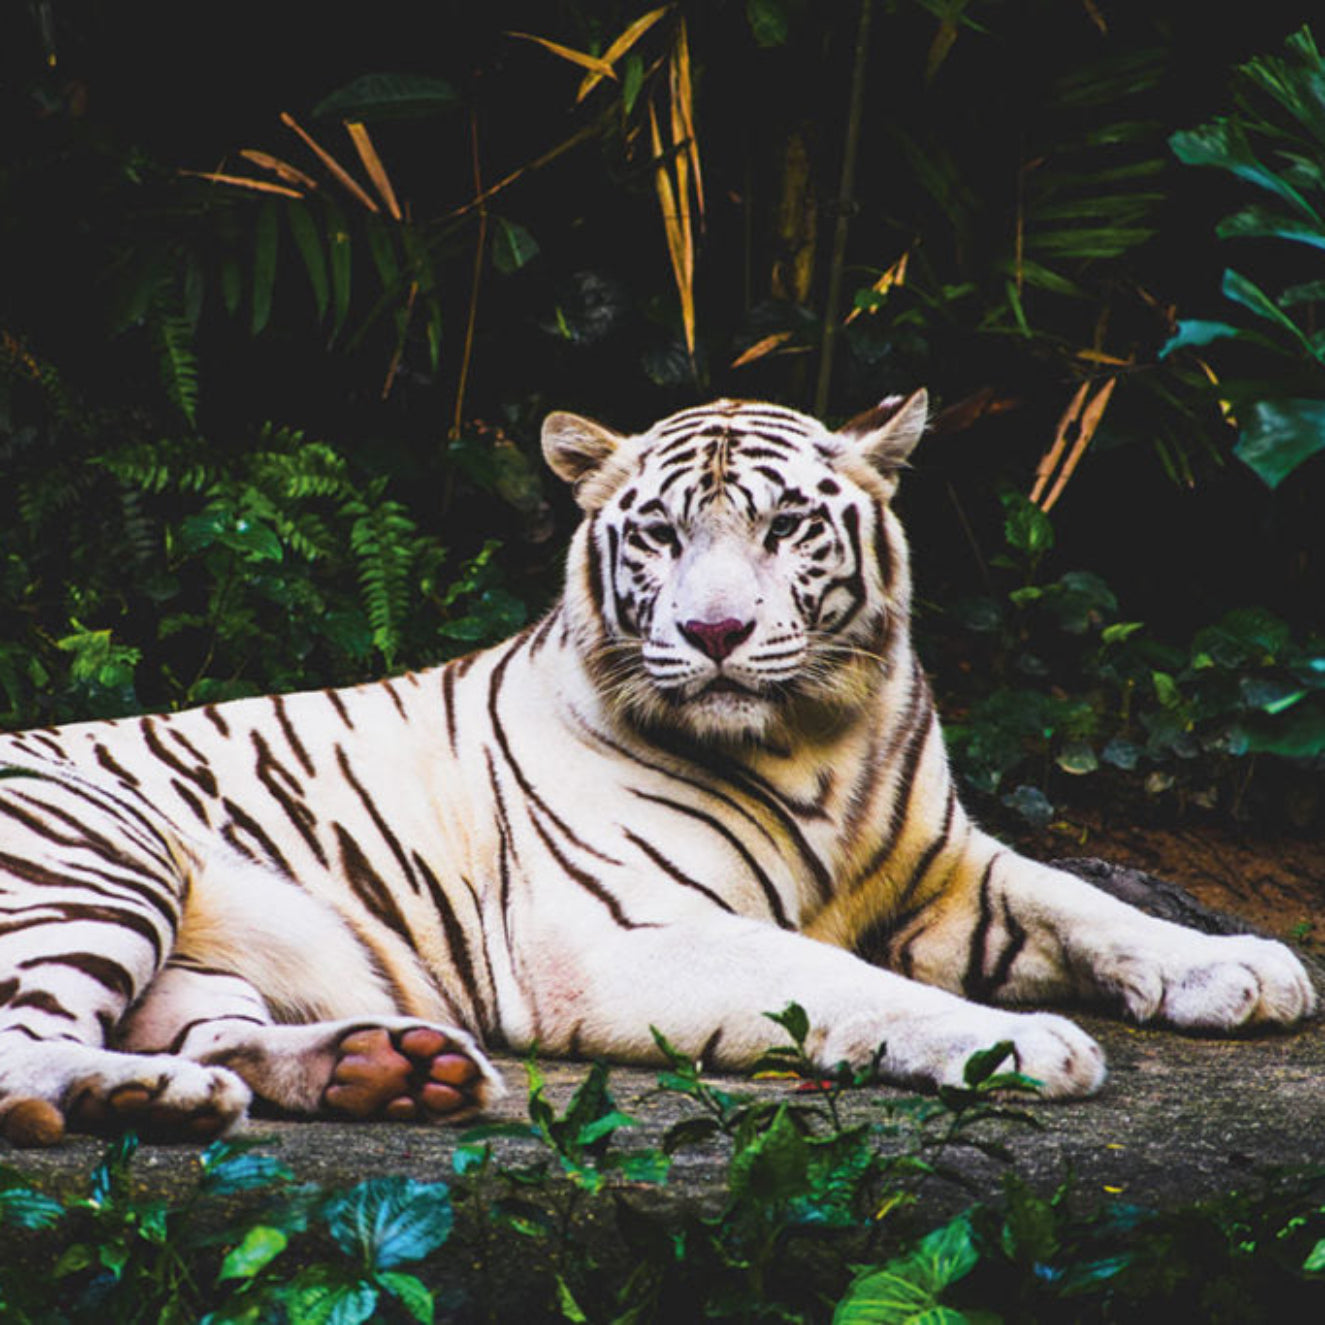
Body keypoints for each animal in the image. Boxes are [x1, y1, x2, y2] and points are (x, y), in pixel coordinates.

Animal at [0, 390, 1315, 1148]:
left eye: (784, 527)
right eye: (660, 533)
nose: (715, 629)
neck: (814, 737)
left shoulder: (943, 866)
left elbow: (1085, 899)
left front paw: (1240, 968)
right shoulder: (620, 932)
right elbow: (841, 981)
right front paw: (1020, 1043)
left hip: (198, 961)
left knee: (212, 1031)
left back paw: (384, 1071)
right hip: (99, 852)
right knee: (24, 1045)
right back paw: (137, 1098)